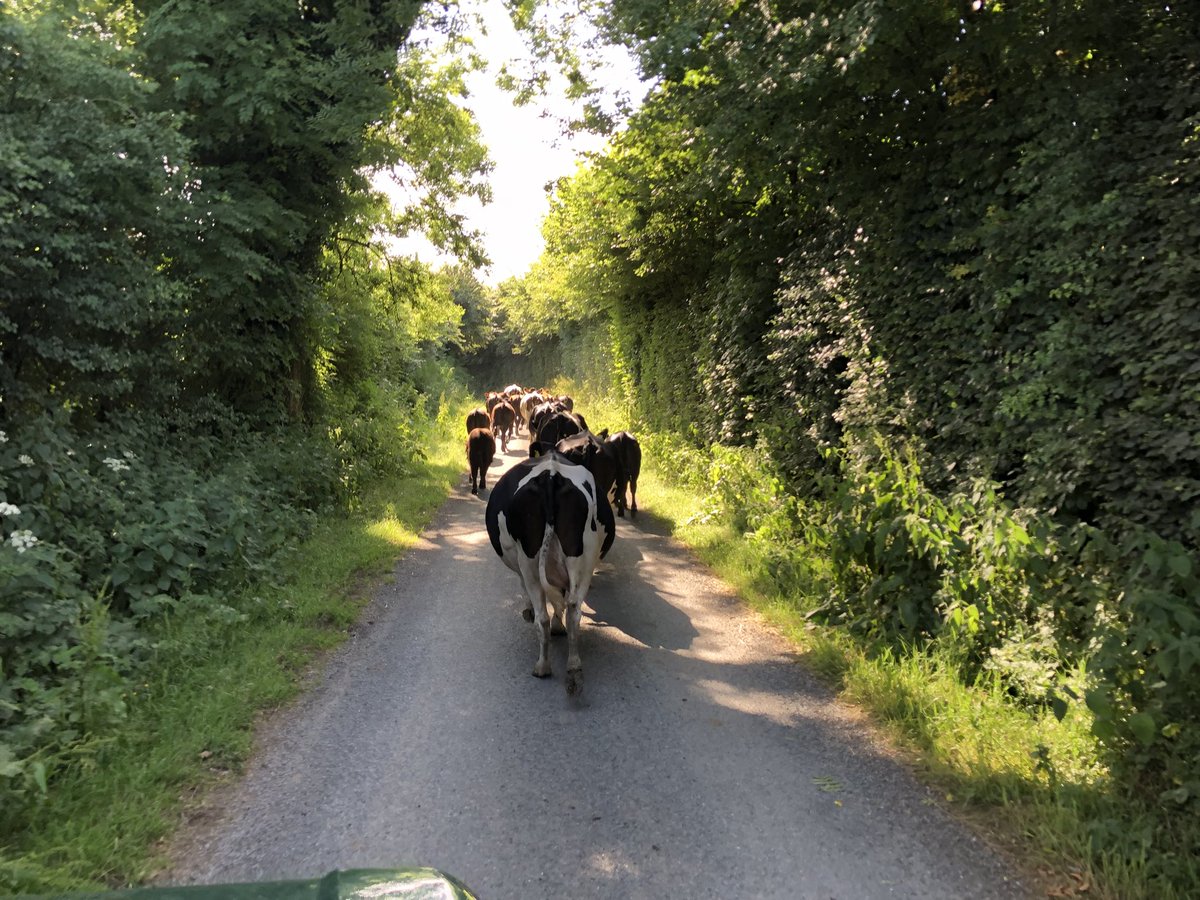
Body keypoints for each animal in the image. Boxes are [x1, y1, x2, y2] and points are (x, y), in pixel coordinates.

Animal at [482, 451, 614, 696]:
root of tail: (551, 476)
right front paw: (558, 625)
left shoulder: (521, 570)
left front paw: (533, 613)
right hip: (583, 560)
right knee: (574, 611)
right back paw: (573, 669)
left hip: (529, 561)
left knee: (542, 616)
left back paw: (542, 666)